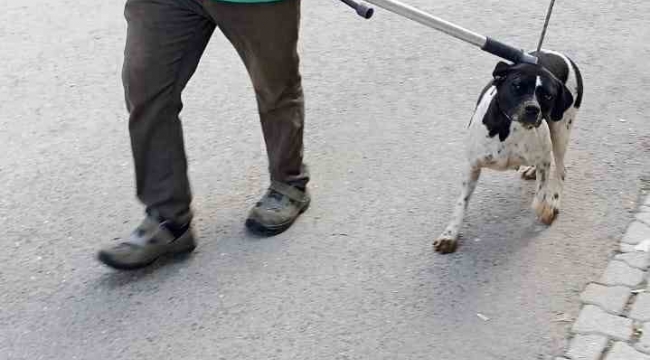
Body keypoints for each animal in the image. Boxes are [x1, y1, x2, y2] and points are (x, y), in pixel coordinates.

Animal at [436, 50, 584, 253]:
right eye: (517, 85)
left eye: (547, 95)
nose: (532, 108)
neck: (511, 129)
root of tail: (560, 55)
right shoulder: (472, 166)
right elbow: (461, 203)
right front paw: (449, 235)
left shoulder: (544, 160)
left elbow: (539, 196)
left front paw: (544, 208)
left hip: (561, 132)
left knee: (561, 170)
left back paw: (553, 201)